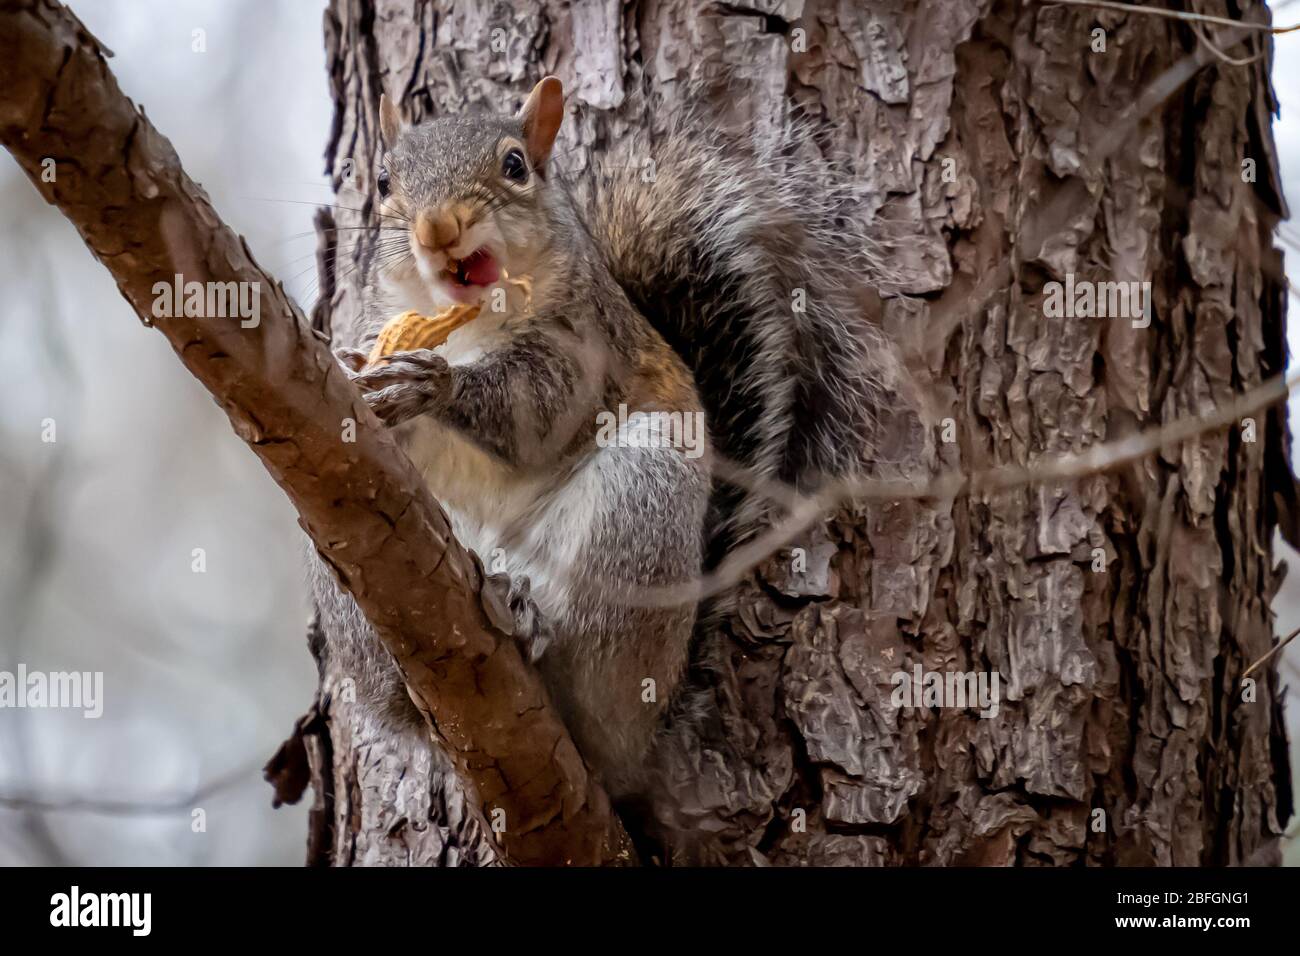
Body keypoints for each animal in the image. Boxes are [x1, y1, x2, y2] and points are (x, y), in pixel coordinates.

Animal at [308, 76, 909, 806]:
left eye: (515, 165)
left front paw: (434, 384)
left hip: (640, 505)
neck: (468, 326)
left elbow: (535, 413)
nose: (438, 227)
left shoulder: (586, 346)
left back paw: (528, 620)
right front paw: (359, 370)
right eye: (385, 181)